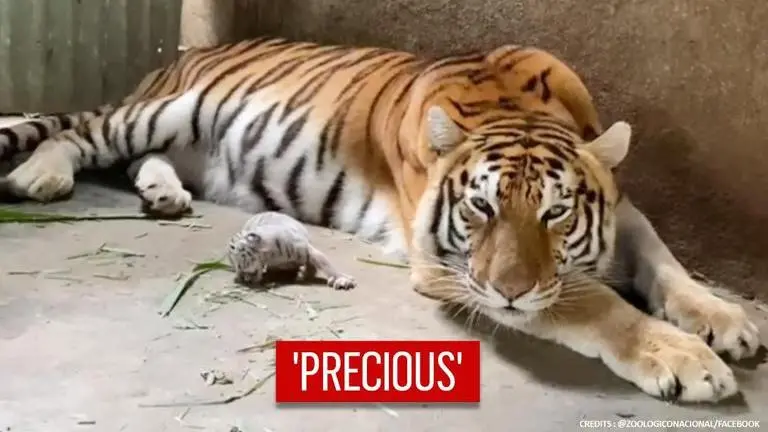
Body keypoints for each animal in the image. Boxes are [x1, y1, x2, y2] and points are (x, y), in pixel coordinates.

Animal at [0, 37, 758, 402]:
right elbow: (592, 302)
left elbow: (666, 265)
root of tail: (178, 60)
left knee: (139, 158)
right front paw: (688, 360)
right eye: (480, 207)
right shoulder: (448, 266)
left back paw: (164, 194)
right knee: (81, 133)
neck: (514, 108)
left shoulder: (621, 210)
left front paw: (726, 320)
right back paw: (41, 175)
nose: (510, 290)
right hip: (164, 110)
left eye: (557, 213)